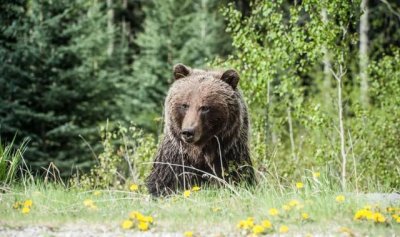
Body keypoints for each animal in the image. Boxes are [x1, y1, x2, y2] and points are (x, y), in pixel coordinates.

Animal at [146, 63, 253, 196]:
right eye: (185, 105)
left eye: (205, 107)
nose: (188, 132)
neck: (199, 153)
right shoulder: (174, 161)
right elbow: (163, 184)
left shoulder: (230, 156)